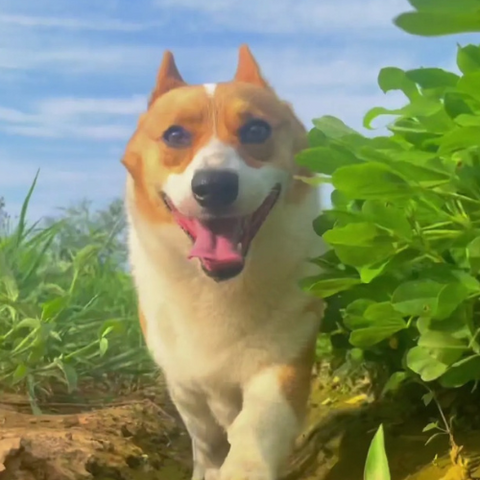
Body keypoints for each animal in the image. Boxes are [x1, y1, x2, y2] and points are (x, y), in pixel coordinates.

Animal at [123, 44, 326, 480]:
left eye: (256, 131)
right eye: (175, 135)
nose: (213, 186)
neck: (218, 288)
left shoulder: (283, 361)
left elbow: (258, 424)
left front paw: (244, 466)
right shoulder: (183, 382)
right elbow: (205, 436)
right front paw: (210, 467)